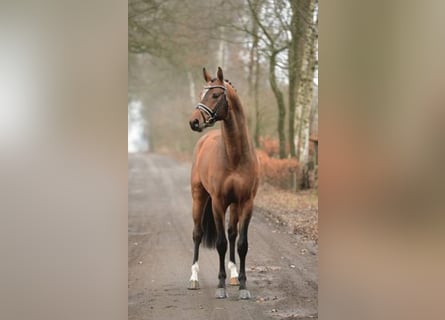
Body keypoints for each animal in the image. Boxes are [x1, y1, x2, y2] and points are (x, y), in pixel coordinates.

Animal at [186, 66, 256, 298]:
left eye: (216, 94)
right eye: (201, 93)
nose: (194, 122)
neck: (234, 156)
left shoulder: (246, 202)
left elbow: (241, 243)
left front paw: (243, 286)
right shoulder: (217, 202)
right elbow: (220, 243)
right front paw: (220, 286)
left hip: (234, 205)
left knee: (232, 234)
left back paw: (233, 276)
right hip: (199, 197)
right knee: (197, 234)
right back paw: (193, 278)